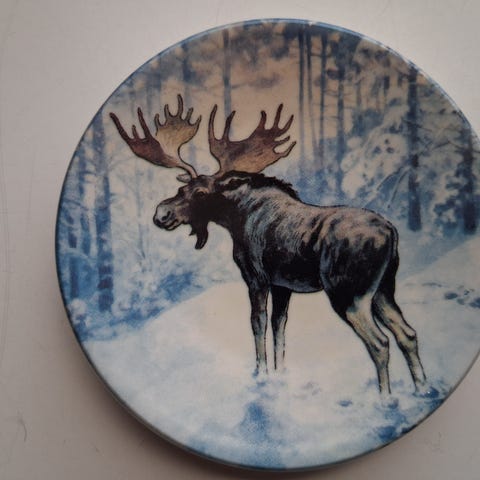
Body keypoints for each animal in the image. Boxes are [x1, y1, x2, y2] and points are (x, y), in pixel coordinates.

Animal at [110, 95, 427, 395]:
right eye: (180, 187)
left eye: (199, 193)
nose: (161, 213)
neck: (236, 219)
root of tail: (392, 232)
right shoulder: (283, 284)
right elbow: (279, 326)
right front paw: (280, 373)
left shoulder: (256, 277)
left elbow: (257, 323)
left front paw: (261, 374)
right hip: (383, 289)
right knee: (408, 333)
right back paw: (422, 389)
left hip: (348, 292)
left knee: (380, 342)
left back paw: (386, 399)